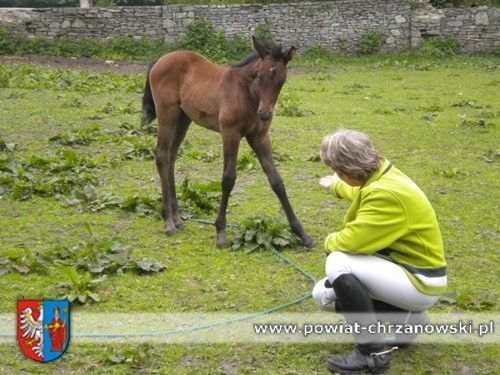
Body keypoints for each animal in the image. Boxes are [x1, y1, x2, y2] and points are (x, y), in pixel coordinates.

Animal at [142, 37, 312, 250]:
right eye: (260, 76)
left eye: (281, 80)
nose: (264, 114)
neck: (247, 93)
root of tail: (160, 59)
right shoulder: (230, 134)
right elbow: (228, 179)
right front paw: (220, 233)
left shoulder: (259, 137)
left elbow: (277, 181)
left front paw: (302, 234)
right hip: (167, 114)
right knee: (162, 155)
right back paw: (168, 222)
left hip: (183, 119)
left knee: (171, 157)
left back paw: (178, 219)